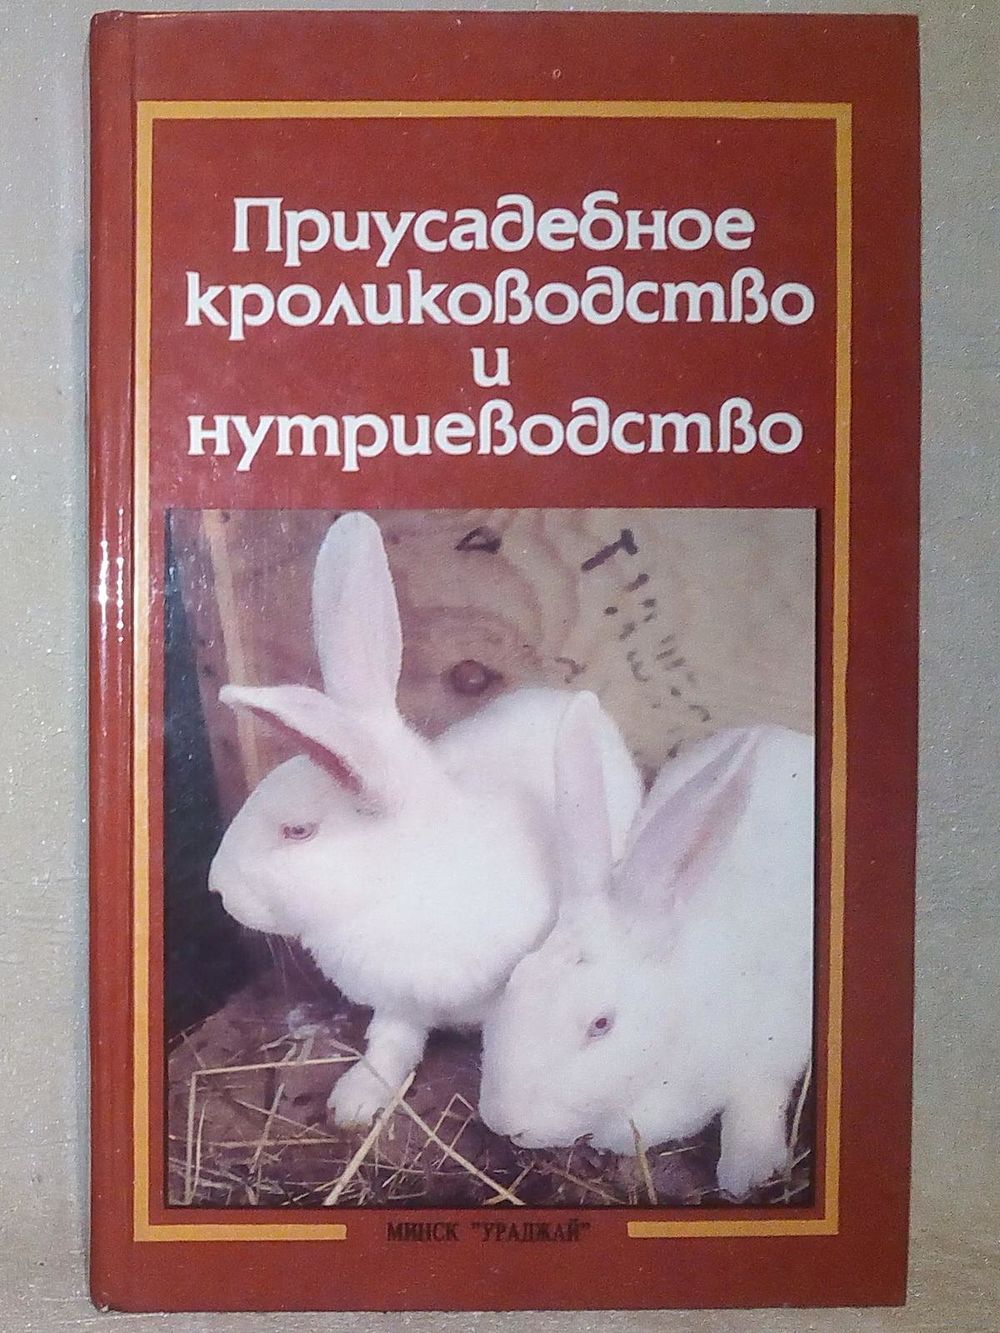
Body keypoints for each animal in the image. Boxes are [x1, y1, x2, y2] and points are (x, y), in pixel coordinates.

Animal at [208, 513, 644, 1129]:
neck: (399, 885)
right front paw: (354, 1102)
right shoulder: (400, 1002)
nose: (216, 888)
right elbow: (391, 1043)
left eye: (297, 830)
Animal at [478, 691, 814, 1199]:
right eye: (515, 979)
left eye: (601, 1024)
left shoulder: (774, 1049)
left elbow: (756, 1103)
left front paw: (746, 1175)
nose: (503, 1121)